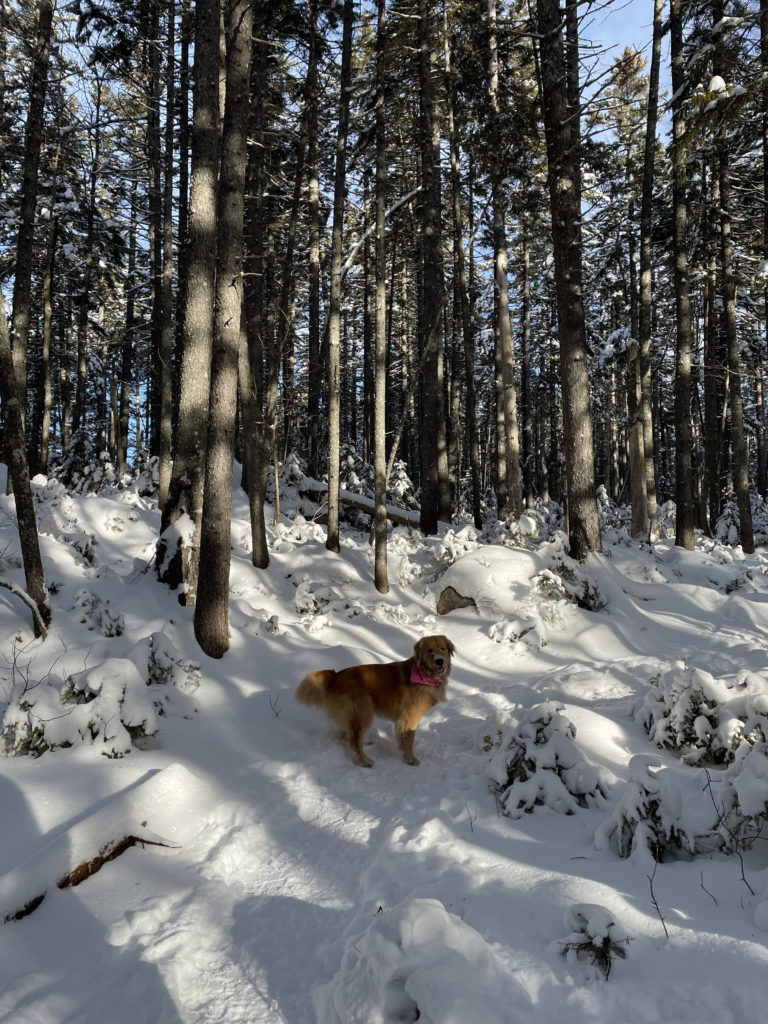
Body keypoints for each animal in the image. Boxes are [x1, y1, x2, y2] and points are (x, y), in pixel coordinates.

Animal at [296, 630, 456, 770]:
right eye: (430, 650)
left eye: (442, 648)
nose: (440, 661)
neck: (424, 673)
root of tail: (335, 676)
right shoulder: (409, 716)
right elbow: (408, 740)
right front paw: (410, 759)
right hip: (363, 712)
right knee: (353, 740)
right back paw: (365, 761)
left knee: (348, 735)